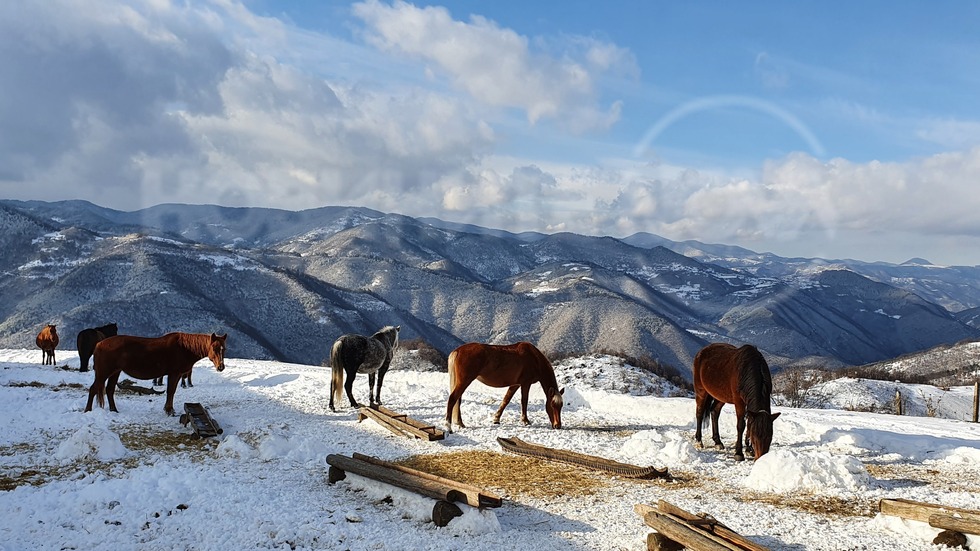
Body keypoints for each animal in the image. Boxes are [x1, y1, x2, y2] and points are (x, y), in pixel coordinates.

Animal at [85, 330, 227, 416]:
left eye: (223, 348)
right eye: (214, 348)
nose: (221, 367)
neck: (184, 348)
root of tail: (99, 344)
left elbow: (172, 391)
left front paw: (169, 409)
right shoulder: (174, 374)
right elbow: (170, 391)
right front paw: (169, 411)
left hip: (115, 372)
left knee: (109, 390)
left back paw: (114, 410)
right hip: (103, 373)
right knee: (93, 389)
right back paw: (88, 410)